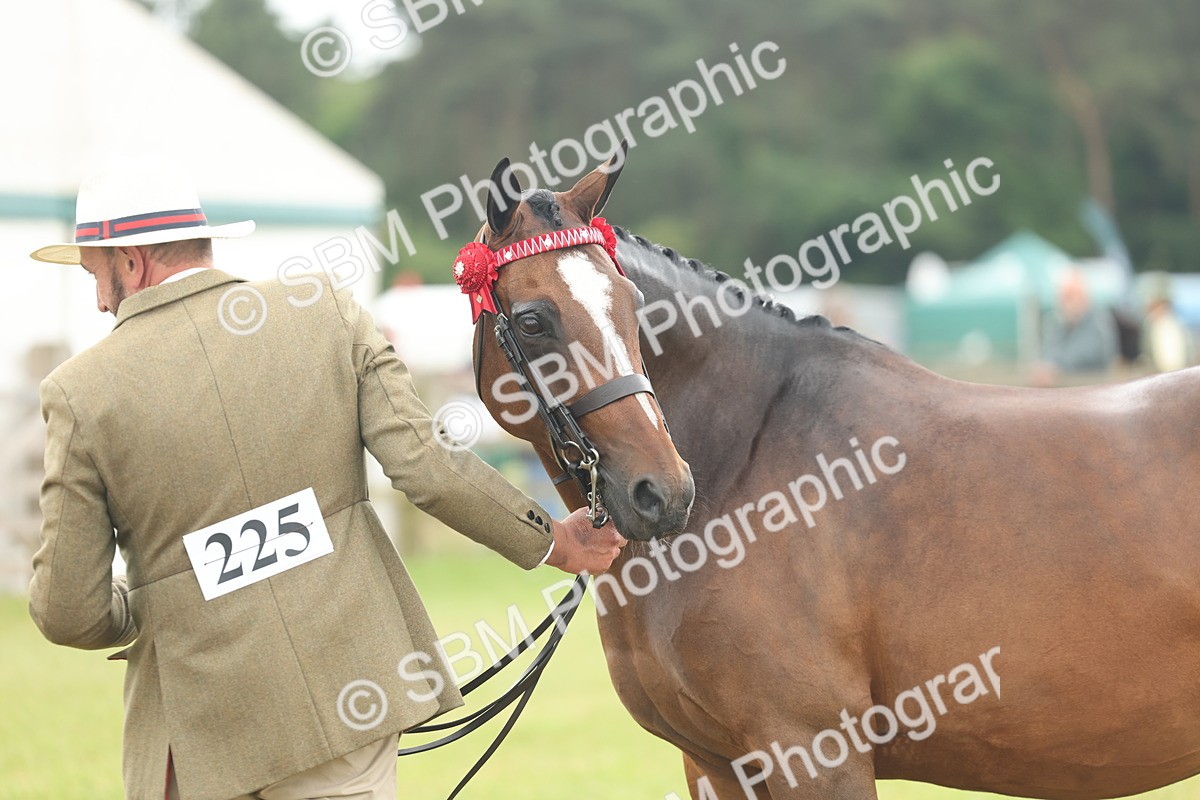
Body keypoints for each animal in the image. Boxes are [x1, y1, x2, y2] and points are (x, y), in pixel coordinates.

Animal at [462, 147, 1200, 799]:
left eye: (631, 302)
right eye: (533, 320)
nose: (661, 492)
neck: (746, 460)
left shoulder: (815, 751)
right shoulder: (718, 767)